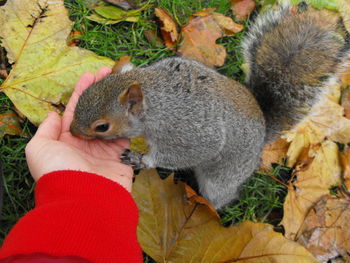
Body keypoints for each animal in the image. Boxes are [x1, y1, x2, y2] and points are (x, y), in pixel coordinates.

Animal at [70, 4, 350, 209]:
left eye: (102, 126)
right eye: (85, 94)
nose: (72, 131)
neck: (158, 100)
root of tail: (262, 132)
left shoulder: (192, 131)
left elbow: (188, 152)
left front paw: (143, 159)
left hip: (223, 176)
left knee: (221, 196)